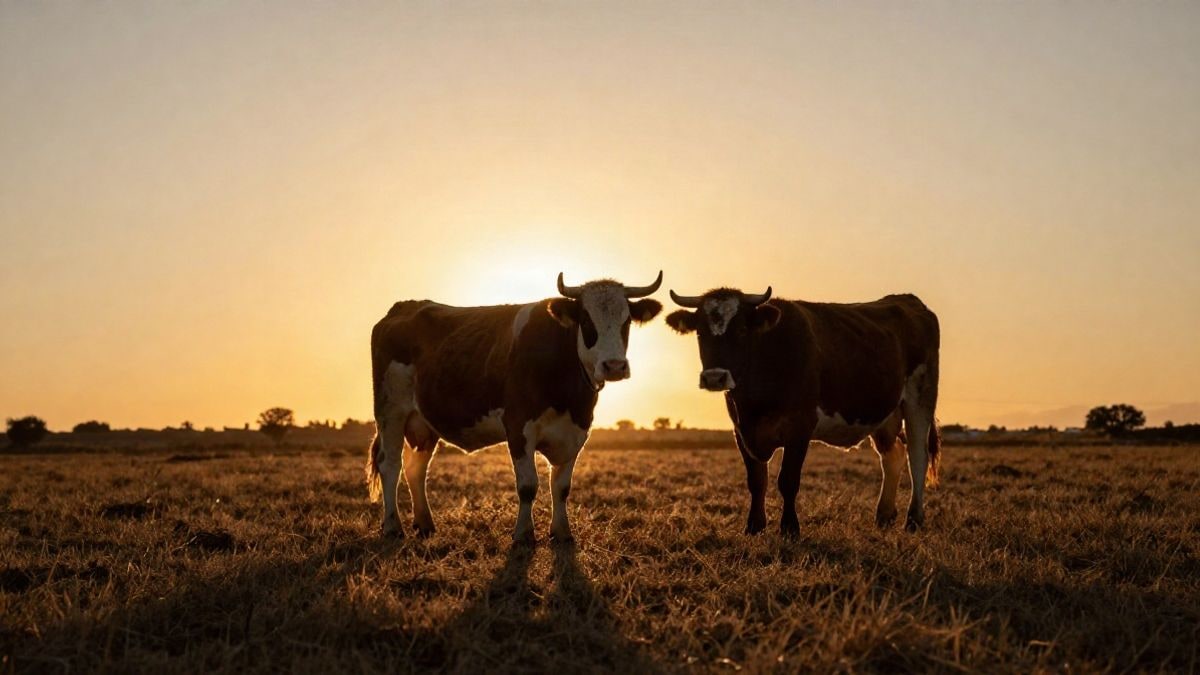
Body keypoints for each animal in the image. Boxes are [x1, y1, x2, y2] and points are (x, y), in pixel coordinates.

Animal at [366, 272, 663, 544]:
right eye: (587, 320)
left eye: (627, 321)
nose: (614, 366)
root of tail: (402, 307)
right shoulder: (519, 427)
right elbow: (528, 485)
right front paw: (523, 533)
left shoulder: (577, 431)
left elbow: (562, 487)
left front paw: (562, 532)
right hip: (390, 412)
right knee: (390, 465)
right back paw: (392, 527)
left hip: (424, 423)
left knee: (416, 468)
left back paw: (425, 524)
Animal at [665, 287, 940, 536]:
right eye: (700, 332)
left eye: (742, 330)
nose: (715, 377)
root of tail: (907, 300)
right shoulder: (742, 431)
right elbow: (757, 480)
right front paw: (754, 526)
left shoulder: (799, 428)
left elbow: (788, 480)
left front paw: (789, 528)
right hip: (884, 415)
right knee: (893, 455)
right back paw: (883, 515)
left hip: (920, 398)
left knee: (917, 456)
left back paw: (914, 519)